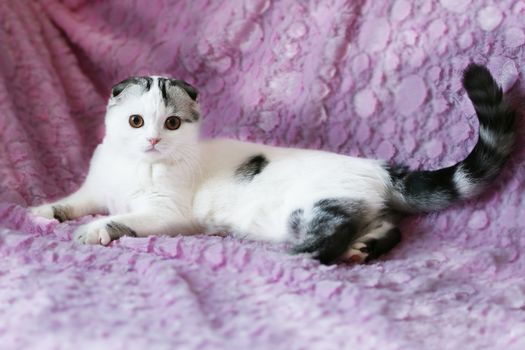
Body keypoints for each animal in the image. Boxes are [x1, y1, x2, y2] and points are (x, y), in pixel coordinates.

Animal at [29, 65, 516, 262]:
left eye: (171, 123)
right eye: (135, 121)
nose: (151, 139)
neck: (133, 168)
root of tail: (378, 167)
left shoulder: (167, 213)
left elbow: (123, 219)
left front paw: (95, 230)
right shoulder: (94, 189)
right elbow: (73, 201)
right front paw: (44, 211)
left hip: (308, 209)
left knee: (334, 231)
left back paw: (302, 256)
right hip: (359, 207)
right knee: (387, 227)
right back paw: (363, 247)